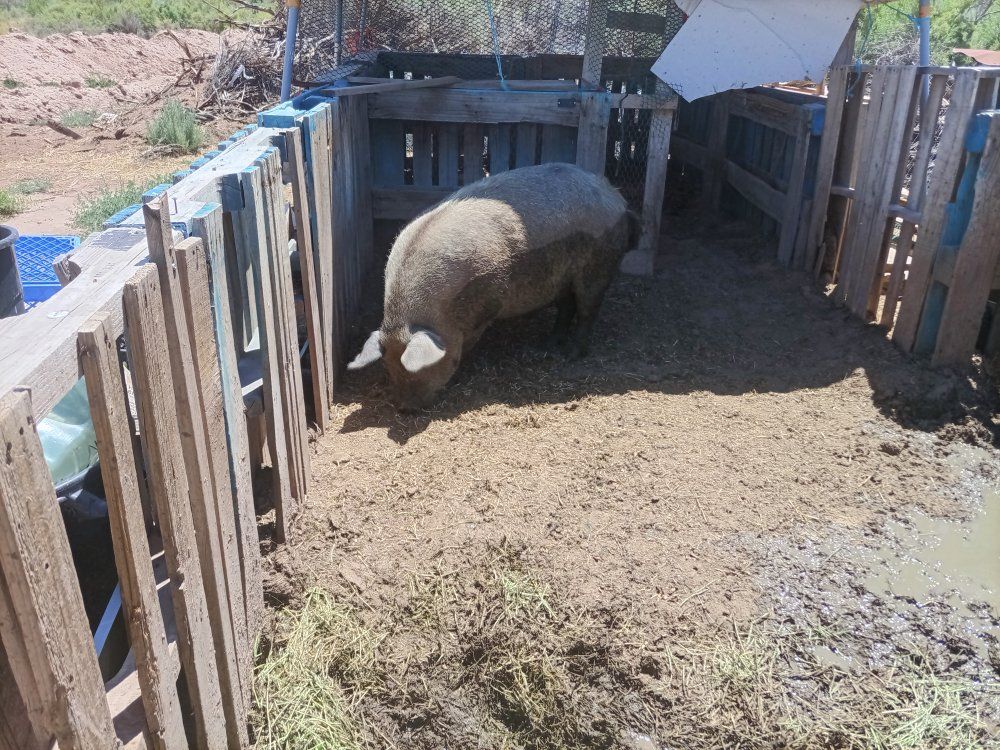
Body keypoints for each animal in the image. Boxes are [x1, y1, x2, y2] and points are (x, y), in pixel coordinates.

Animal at [348, 162, 636, 410]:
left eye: (416, 368)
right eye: (388, 366)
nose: (407, 409)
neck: (442, 313)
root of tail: (616, 197)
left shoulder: (487, 306)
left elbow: (470, 342)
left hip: (598, 265)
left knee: (588, 309)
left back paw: (571, 355)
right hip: (561, 278)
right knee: (566, 308)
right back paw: (546, 346)